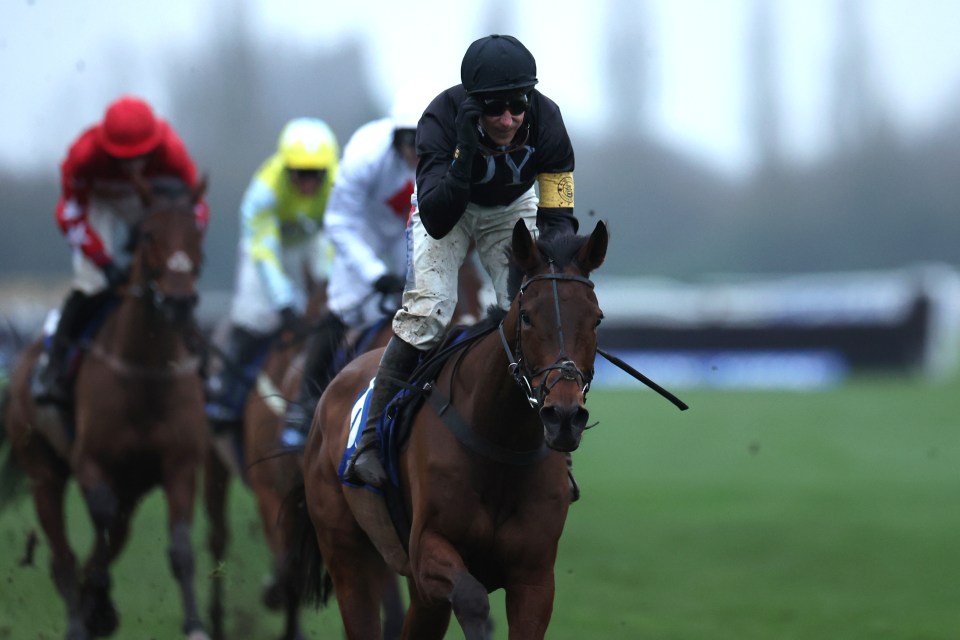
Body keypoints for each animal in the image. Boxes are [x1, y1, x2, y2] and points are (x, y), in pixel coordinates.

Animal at [0, 176, 210, 640]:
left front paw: (194, 623)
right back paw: (78, 618)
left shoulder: (180, 464)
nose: (179, 301)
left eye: (197, 230)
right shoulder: (91, 462)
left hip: (132, 482)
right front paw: (95, 603)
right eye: (148, 233)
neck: (145, 371)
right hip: (43, 471)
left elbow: (180, 547)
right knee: (63, 553)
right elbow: (102, 524)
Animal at [294, 221, 608, 640]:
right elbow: (472, 599)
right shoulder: (427, 550)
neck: (500, 445)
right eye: (526, 316)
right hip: (346, 553)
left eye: (596, 318)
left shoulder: (535, 577)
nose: (564, 416)